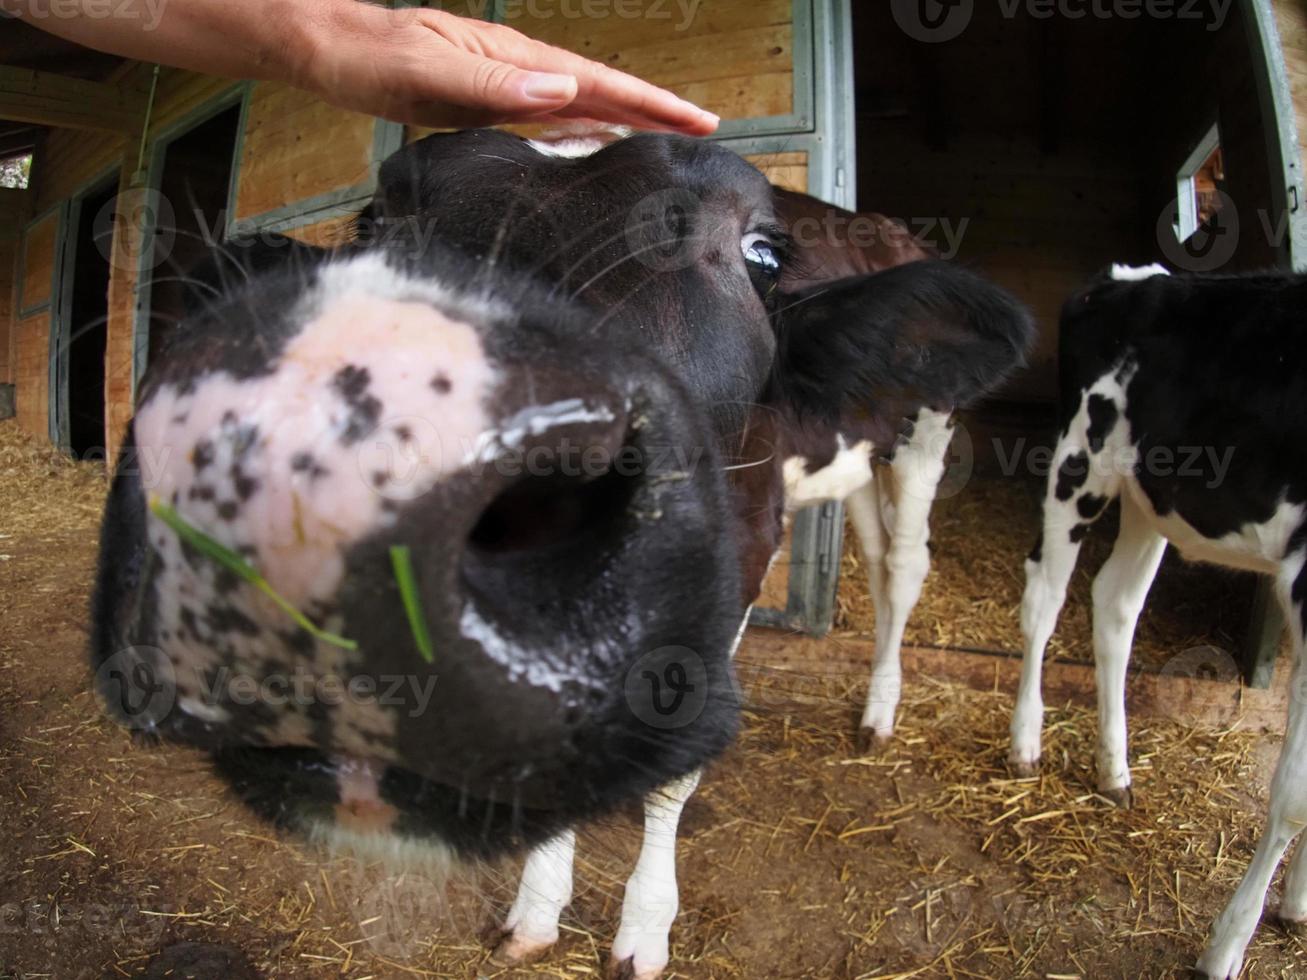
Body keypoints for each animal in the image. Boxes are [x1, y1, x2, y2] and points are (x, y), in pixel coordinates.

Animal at [89, 126, 1029, 977]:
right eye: (373, 225)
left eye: (759, 253)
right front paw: (538, 912)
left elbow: (668, 769)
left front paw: (643, 932)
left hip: (928, 429)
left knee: (902, 567)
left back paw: (878, 713)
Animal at [1014, 262, 1307, 980]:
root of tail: (1128, 276)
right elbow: (1292, 792)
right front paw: (1226, 945)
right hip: (1079, 460)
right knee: (1045, 595)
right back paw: (1025, 740)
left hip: (1150, 496)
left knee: (1115, 604)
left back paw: (1113, 769)